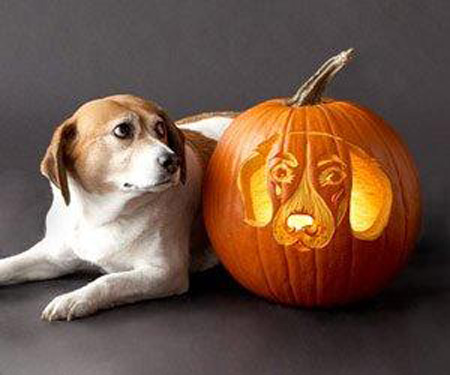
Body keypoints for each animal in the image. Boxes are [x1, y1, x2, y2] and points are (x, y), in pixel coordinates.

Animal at [0, 95, 237, 322]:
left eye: (160, 128)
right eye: (122, 130)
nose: (173, 160)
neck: (100, 216)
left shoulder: (165, 272)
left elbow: (108, 281)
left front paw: (74, 299)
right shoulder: (52, 257)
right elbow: (10, 264)